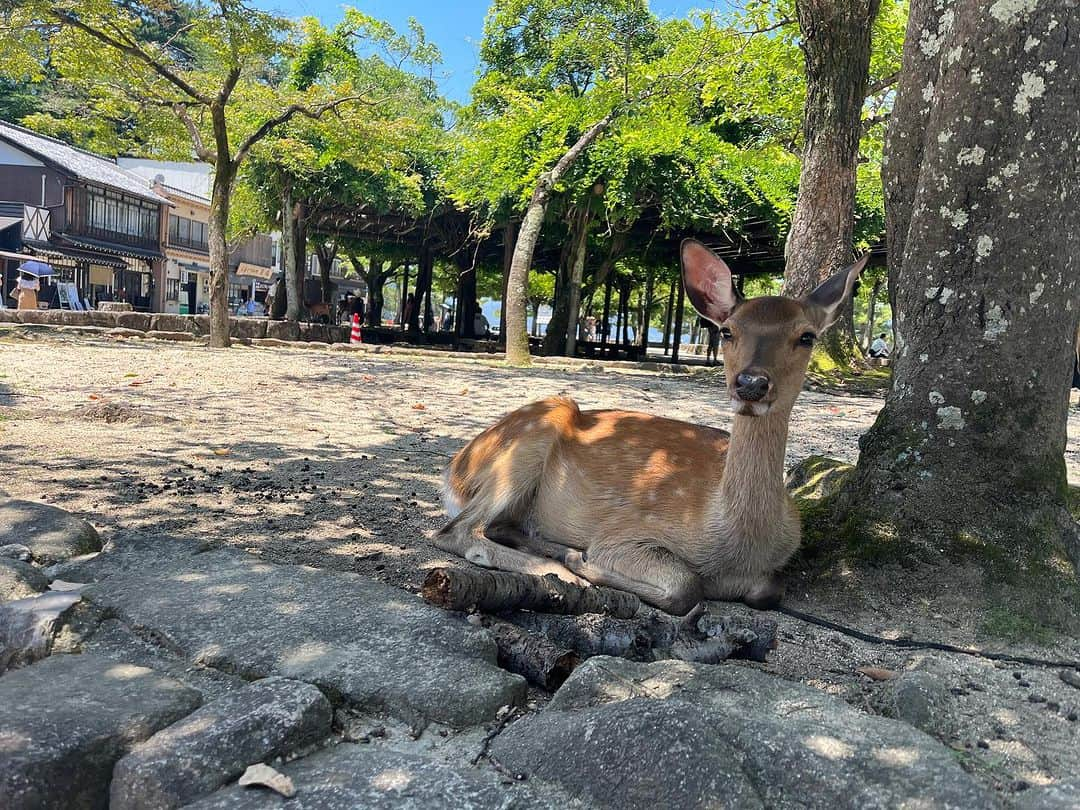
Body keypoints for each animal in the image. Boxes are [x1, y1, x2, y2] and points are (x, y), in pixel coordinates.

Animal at [434, 240, 864, 613]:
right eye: (727, 331)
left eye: (806, 336)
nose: (751, 384)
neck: (735, 547)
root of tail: (453, 470)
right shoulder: (626, 532)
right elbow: (686, 586)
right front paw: (581, 559)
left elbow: (769, 590)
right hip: (529, 439)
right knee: (455, 531)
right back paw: (560, 566)